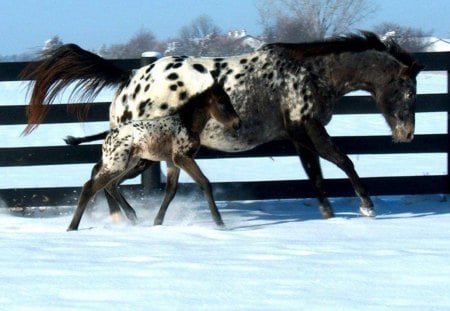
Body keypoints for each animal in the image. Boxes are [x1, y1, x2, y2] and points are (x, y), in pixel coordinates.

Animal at [66, 83, 239, 232]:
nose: (237, 123)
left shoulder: (172, 162)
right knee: (90, 186)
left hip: (129, 163)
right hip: (118, 164)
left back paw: (132, 217)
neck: (187, 123)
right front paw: (220, 223)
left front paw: (157, 222)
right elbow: (205, 183)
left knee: (110, 185)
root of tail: (109, 135)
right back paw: (72, 227)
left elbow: (170, 191)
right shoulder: (182, 157)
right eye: (222, 101)